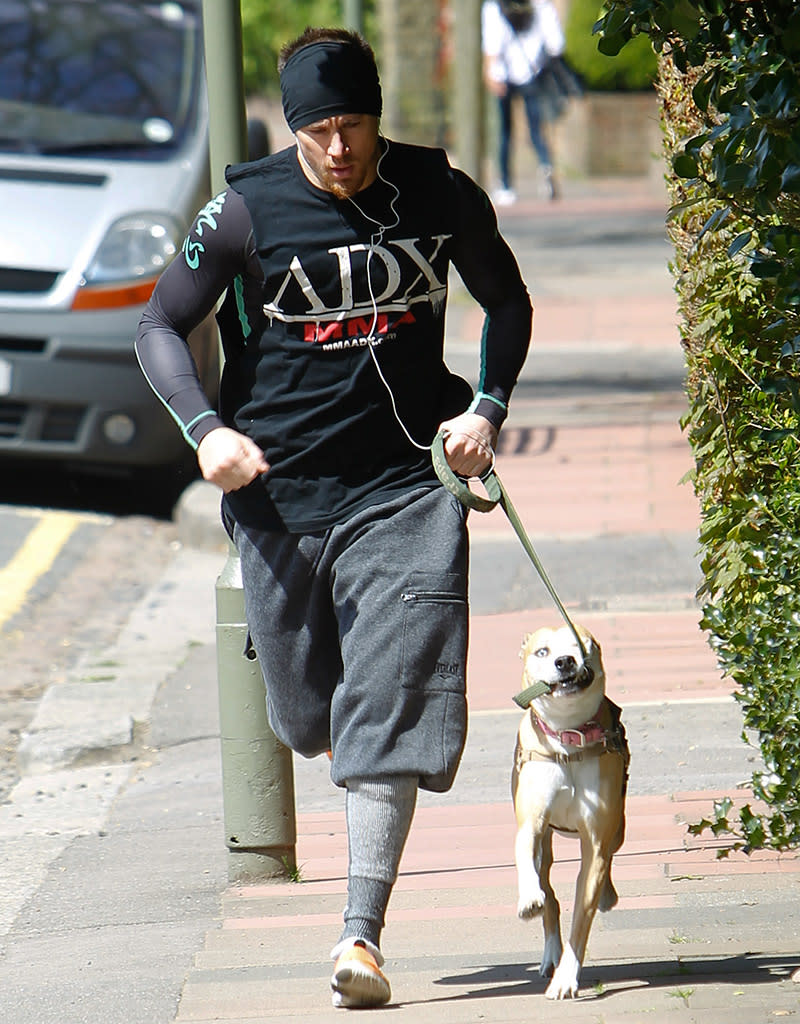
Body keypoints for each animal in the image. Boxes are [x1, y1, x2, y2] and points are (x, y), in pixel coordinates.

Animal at [512, 622, 630, 999]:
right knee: (548, 890)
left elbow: (583, 914)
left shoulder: (596, 839)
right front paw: (529, 898)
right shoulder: (531, 821)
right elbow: (524, 851)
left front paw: (566, 978)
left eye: (580, 645)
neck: (568, 737)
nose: (565, 661)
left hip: (618, 827)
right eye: (542, 651)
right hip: (547, 843)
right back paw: (549, 948)